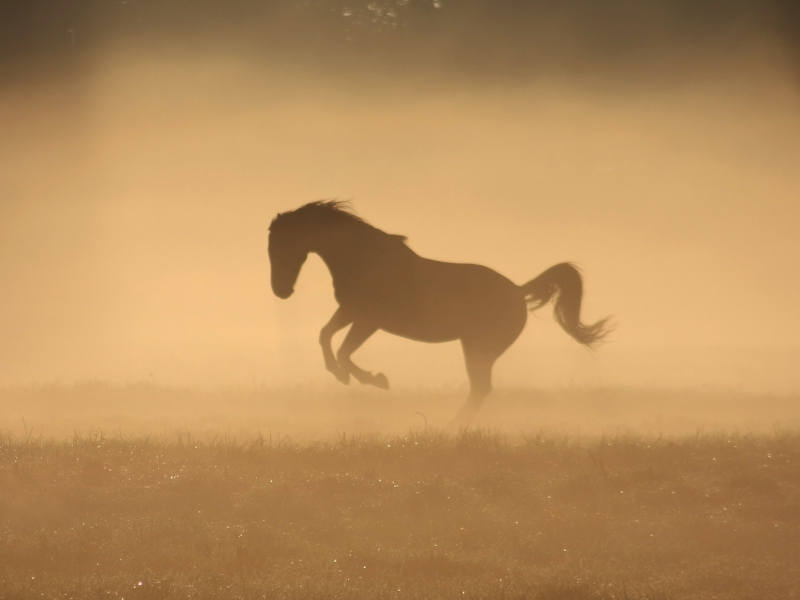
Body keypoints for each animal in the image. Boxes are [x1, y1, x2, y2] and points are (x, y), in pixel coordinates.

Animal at [266, 200, 608, 422]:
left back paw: (451, 427)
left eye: (283, 245)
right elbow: (325, 338)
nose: (280, 291)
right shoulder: (350, 311)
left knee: (480, 388)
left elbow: (344, 351)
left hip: (478, 349)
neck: (363, 259)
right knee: (480, 388)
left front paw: (374, 380)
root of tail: (517, 291)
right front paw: (342, 376)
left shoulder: (368, 320)